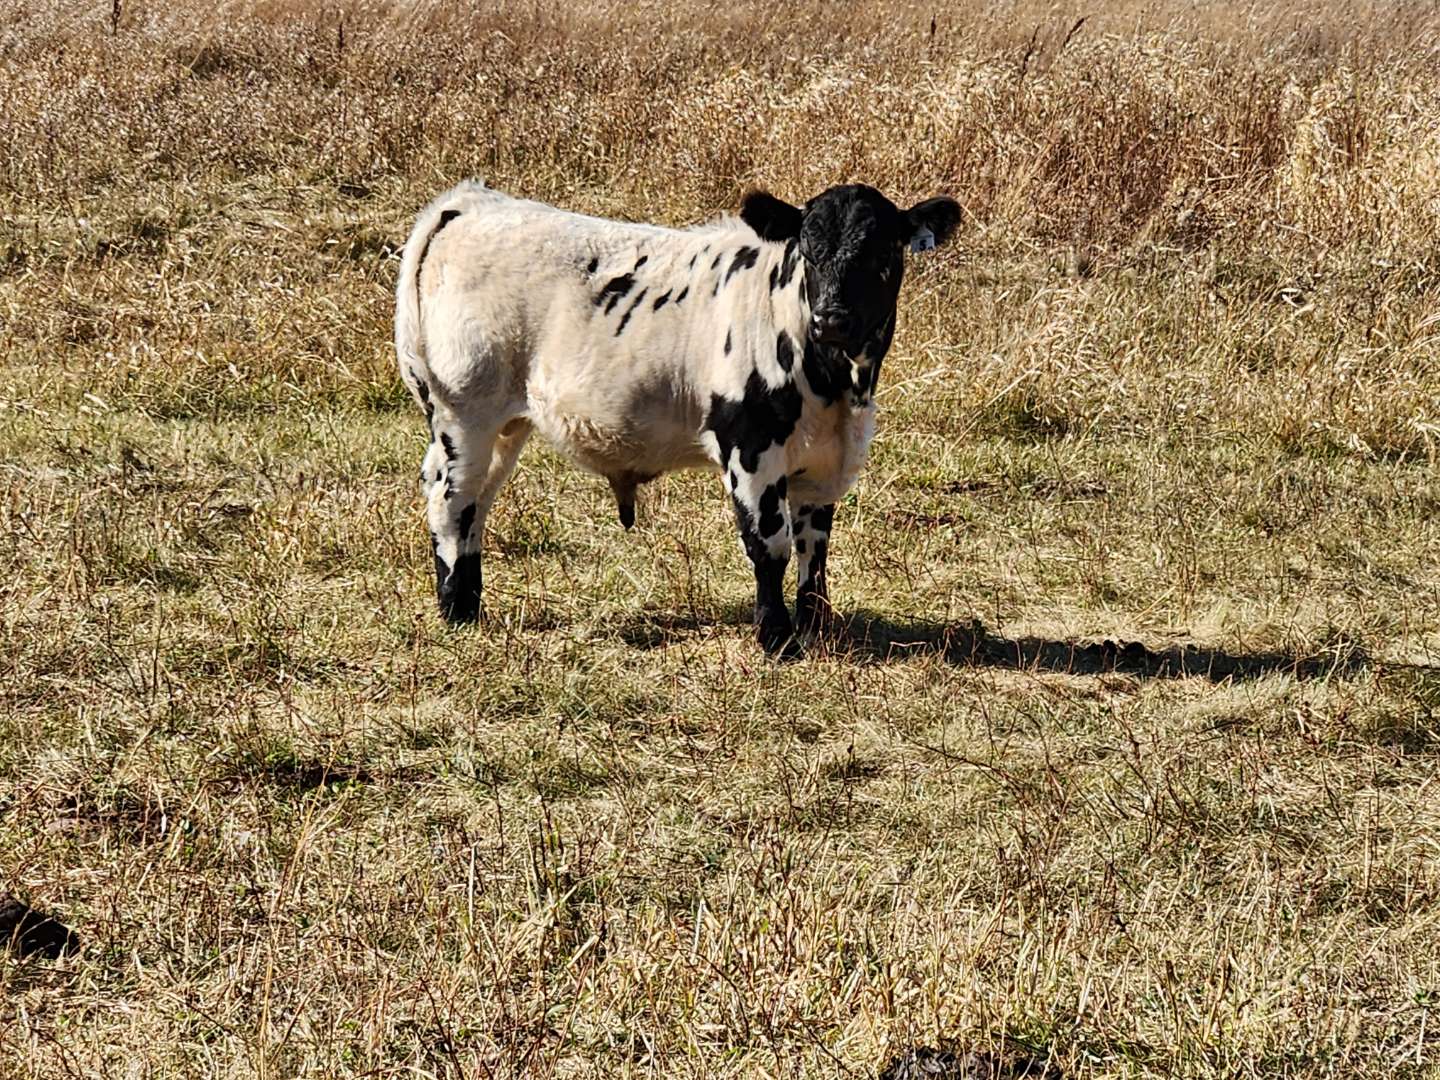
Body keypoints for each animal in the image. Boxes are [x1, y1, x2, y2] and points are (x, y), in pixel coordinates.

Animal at [391, 182, 956, 656]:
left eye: (882, 253)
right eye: (808, 250)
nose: (831, 319)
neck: (836, 384)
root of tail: (470, 202)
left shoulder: (822, 466)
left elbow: (812, 553)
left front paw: (815, 630)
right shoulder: (749, 446)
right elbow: (769, 545)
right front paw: (777, 639)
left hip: (507, 424)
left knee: (477, 503)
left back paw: (469, 602)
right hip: (464, 411)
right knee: (451, 501)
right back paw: (455, 609)